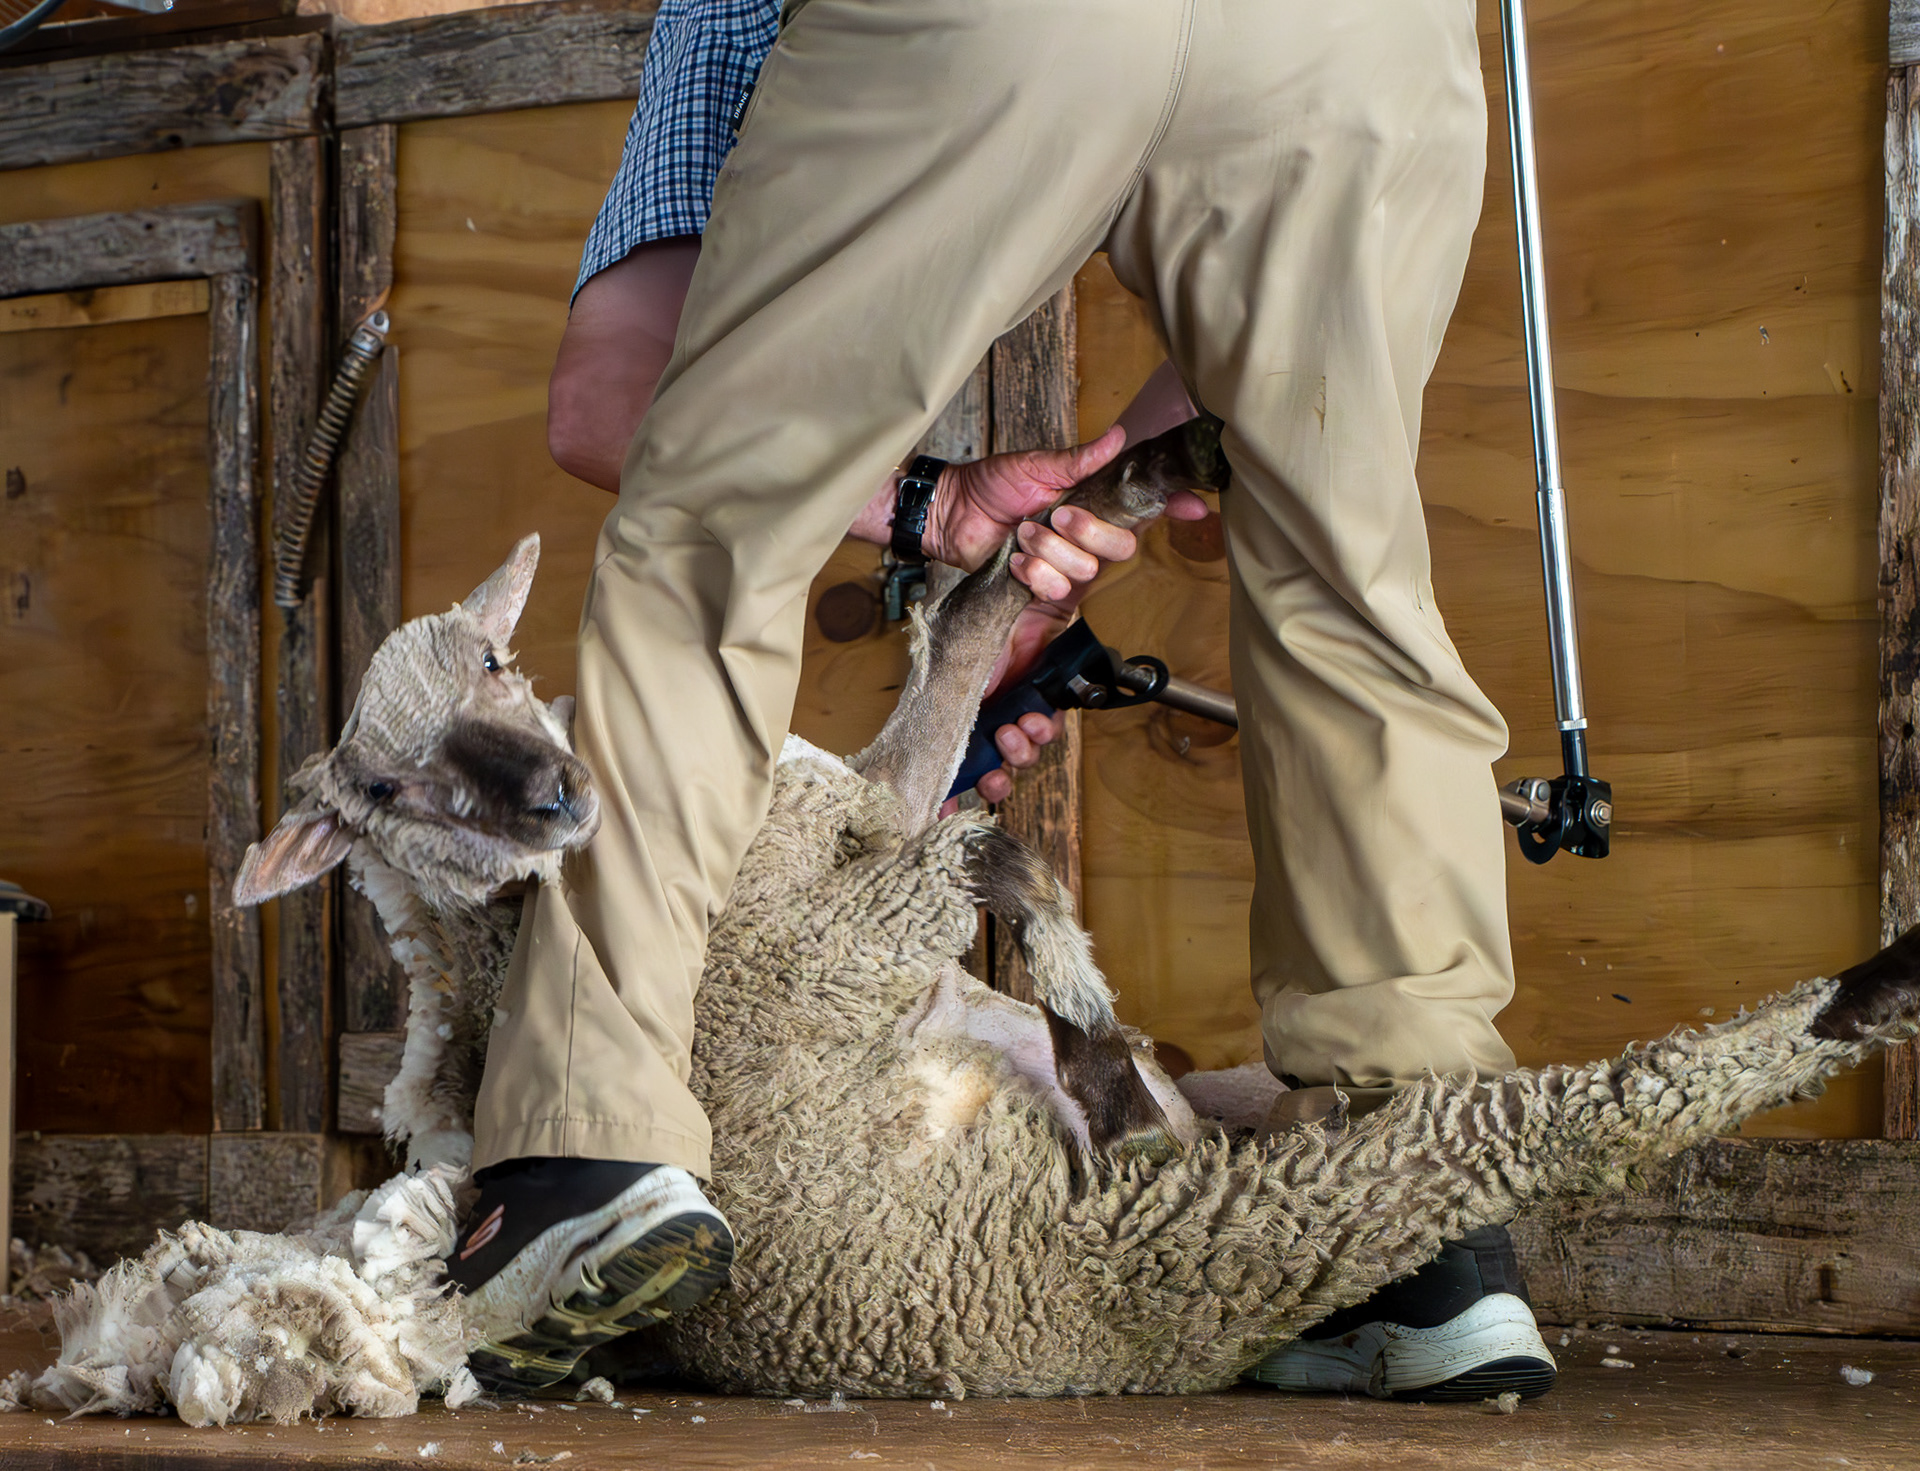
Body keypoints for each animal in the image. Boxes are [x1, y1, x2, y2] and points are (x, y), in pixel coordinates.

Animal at [10, 424, 1920, 1419]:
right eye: (389, 795)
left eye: (491, 655)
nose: (551, 798)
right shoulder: (861, 861)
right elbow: (984, 691)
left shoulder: (871, 814)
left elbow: (982, 700)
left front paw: (1123, 493)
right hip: (1229, 1221)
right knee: (1572, 1113)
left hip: (1247, 1128)